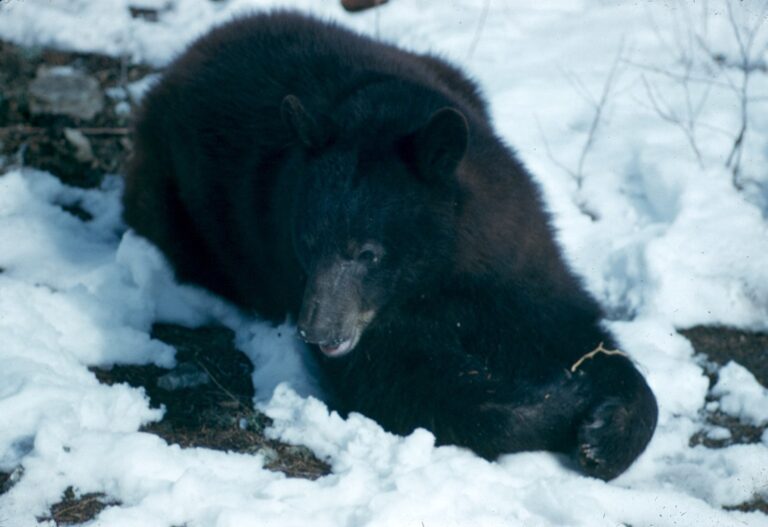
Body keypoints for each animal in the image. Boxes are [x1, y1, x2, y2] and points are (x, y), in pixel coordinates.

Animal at [123, 11, 658, 480]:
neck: (436, 277)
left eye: (368, 252)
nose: (316, 330)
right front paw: (563, 402)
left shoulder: (510, 254)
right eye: (307, 243)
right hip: (166, 199)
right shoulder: (377, 327)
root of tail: (185, 55)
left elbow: (571, 327)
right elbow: (407, 386)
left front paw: (605, 430)